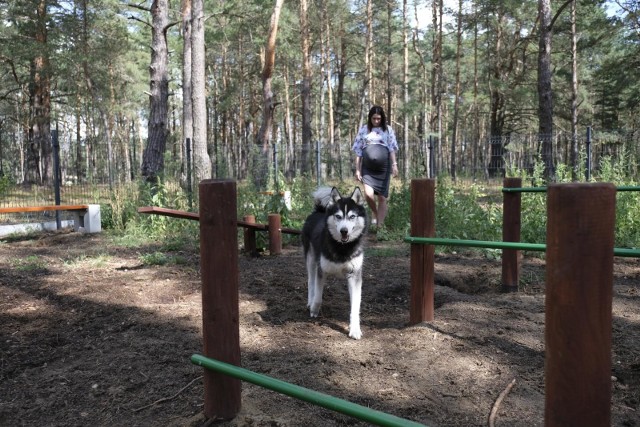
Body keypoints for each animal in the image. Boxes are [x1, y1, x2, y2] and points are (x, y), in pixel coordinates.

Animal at [302, 187, 368, 342]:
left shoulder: (355, 276)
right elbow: (318, 296)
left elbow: (355, 306)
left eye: (352, 216)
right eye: (338, 216)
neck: (342, 248)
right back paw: (310, 301)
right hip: (311, 259)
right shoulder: (321, 270)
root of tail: (318, 211)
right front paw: (314, 309)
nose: (344, 230)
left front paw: (355, 329)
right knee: (311, 281)